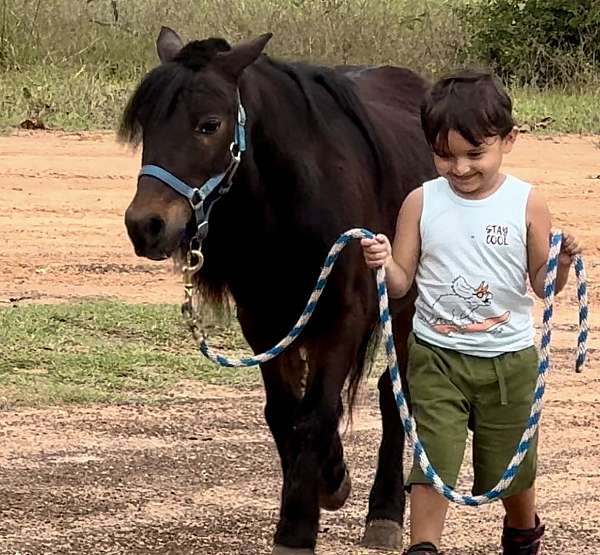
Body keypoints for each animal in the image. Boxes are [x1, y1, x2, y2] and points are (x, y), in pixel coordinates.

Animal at [119, 28, 434, 555]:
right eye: (145, 123)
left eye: (209, 124)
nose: (147, 226)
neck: (294, 201)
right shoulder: (265, 323)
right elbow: (286, 414)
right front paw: (328, 481)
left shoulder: (345, 315)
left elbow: (314, 416)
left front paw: (297, 529)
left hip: (403, 308)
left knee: (395, 397)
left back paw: (386, 511)